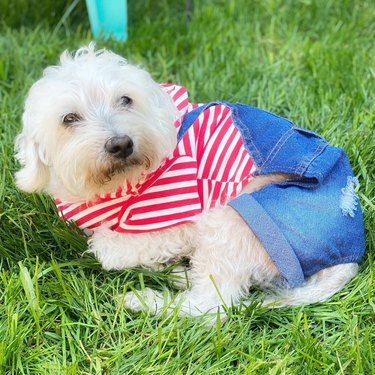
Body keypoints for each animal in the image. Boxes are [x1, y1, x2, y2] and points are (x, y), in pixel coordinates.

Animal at [13, 44, 366, 318]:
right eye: (69, 119)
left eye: (125, 100)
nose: (121, 144)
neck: (117, 185)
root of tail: (351, 255)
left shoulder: (178, 219)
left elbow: (105, 248)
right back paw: (177, 274)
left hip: (232, 221)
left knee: (212, 305)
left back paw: (145, 300)